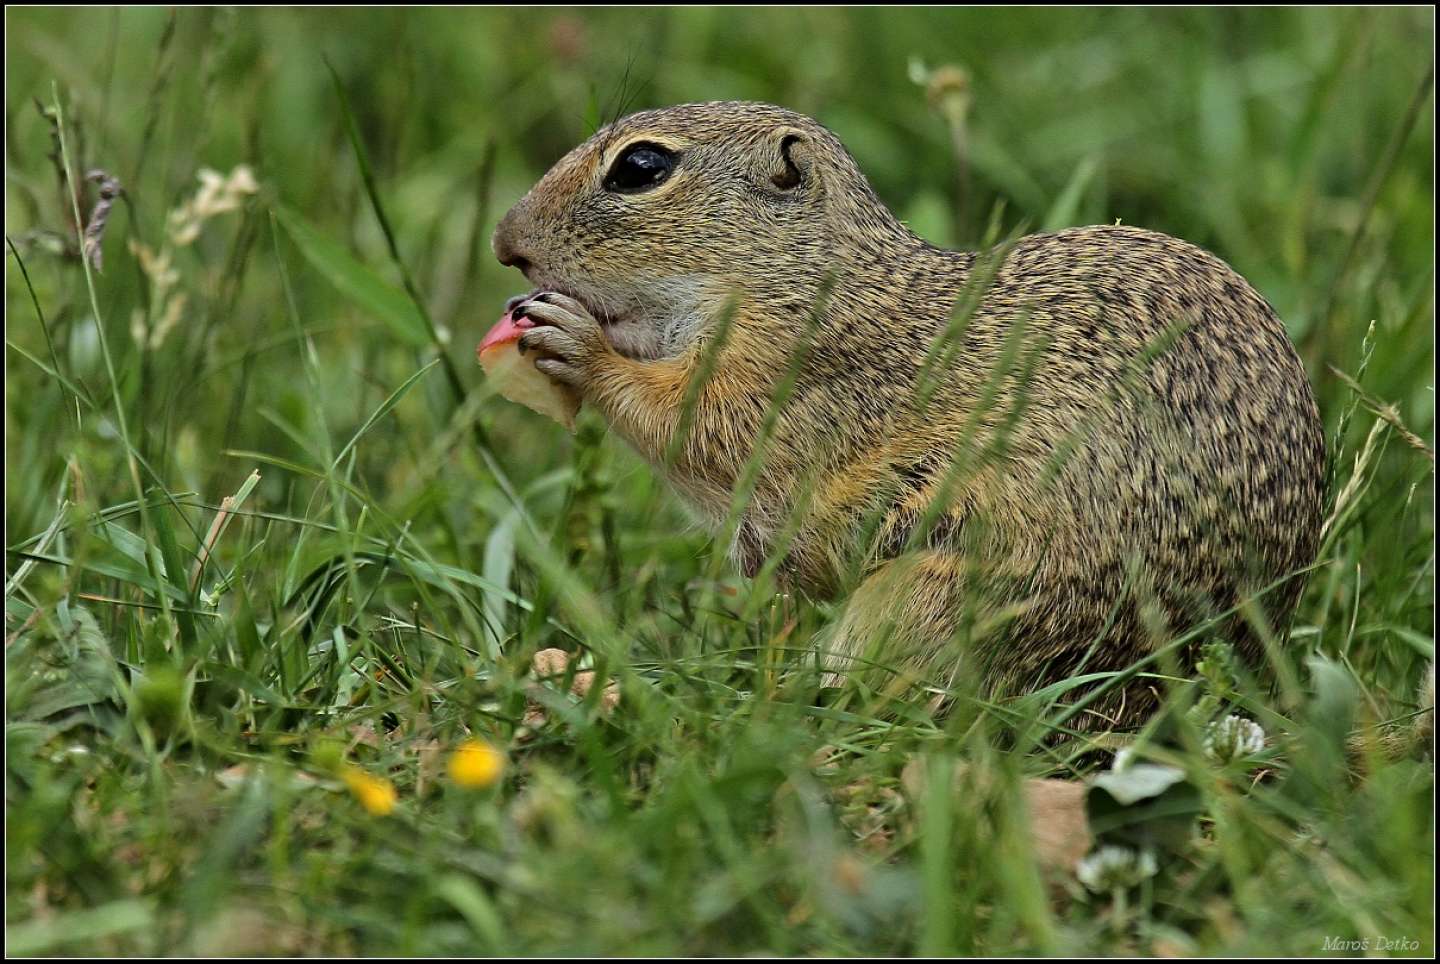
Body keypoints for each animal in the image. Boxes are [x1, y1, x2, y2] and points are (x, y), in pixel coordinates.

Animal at [486, 101, 1324, 726]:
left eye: (641, 167)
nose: (503, 242)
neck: (803, 281)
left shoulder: (787, 384)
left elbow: (687, 427)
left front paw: (579, 346)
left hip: (932, 596)